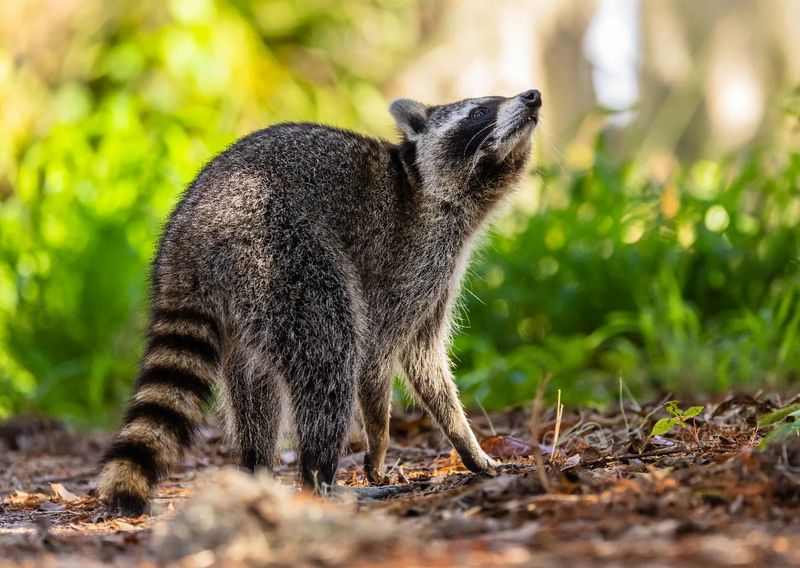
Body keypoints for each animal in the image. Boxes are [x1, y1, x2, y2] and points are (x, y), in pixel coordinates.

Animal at [97, 87, 540, 516]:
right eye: (481, 110)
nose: (533, 96)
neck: (428, 187)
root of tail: (188, 236)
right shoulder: (410, 255)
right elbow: (377, 355)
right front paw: (379, 442)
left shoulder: (440, 275)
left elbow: (424, 359)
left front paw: (466, 440)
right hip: (280, 254)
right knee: (331, 353)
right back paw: (320, 478)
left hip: (246, 299)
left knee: (254, 385)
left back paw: (257, 470)